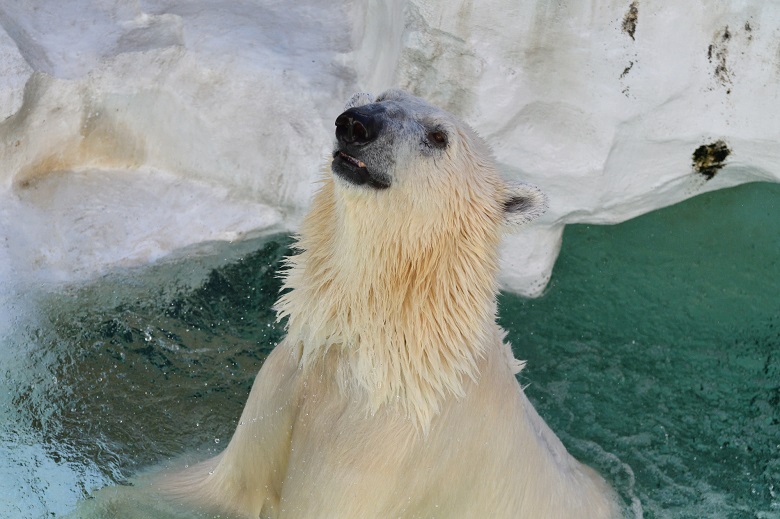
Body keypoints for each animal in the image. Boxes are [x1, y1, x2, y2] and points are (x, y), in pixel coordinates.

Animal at [166, 90, 620, 519]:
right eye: (382, 96)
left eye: (438, 137)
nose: (356, 124)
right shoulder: (285, 386)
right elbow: (207, 487)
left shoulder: (376, 451)